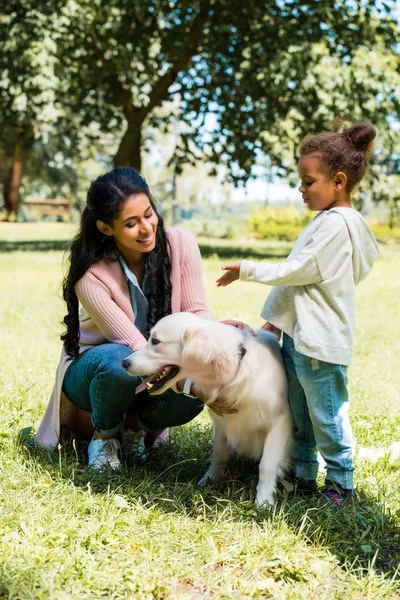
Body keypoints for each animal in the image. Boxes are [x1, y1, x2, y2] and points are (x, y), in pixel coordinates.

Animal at [123, 314, 292, 506]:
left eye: (156, 341)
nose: (124, 363)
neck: (235, 366)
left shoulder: (280, 421)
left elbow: (267, 464)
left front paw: (264, 500)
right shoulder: (222, 424)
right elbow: (218, 453)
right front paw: (210, 479)